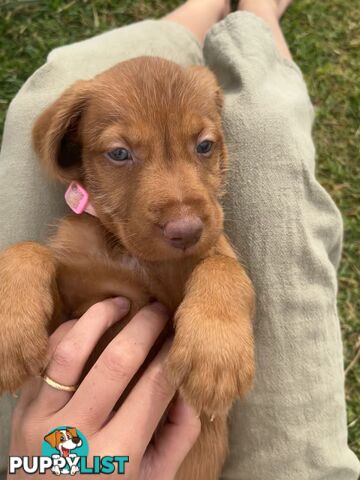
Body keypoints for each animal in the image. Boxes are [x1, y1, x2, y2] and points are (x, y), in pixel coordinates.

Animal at [0, 57, 255, 480]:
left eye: (204, 145)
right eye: (119, 154)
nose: (186, 231)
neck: (129, 254)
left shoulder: (203, 259)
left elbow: (222, 266)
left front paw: (215, 354)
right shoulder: (69, 315)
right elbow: (28, 250)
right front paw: (9, 332)